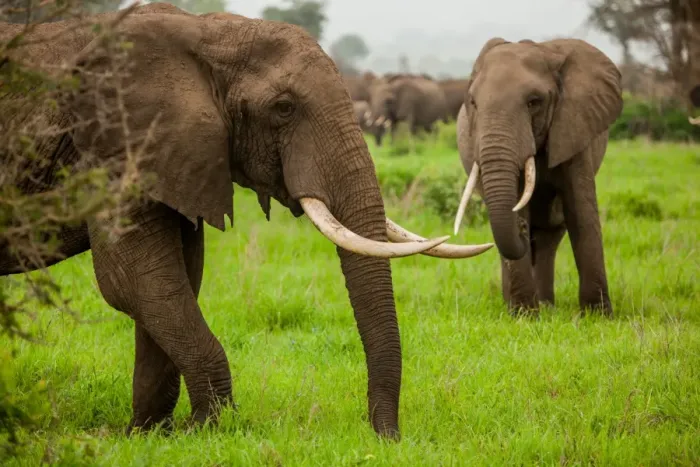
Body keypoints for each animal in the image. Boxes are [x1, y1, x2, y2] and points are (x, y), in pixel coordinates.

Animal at [0, 3, 494, 439]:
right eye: (284, 108)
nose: (386, 437)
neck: (205, 33)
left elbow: (175, 279)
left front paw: (148, 434)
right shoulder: (110, 149)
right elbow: (135, 283)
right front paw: (204, 429)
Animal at [454, 37, 623, 316]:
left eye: (534, 102)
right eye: (473, 103)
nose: (523, 228)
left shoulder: (573, 127)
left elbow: (581, 211)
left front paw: (598, 316)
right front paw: (524, 316)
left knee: (549, 236)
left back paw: (547, 306)